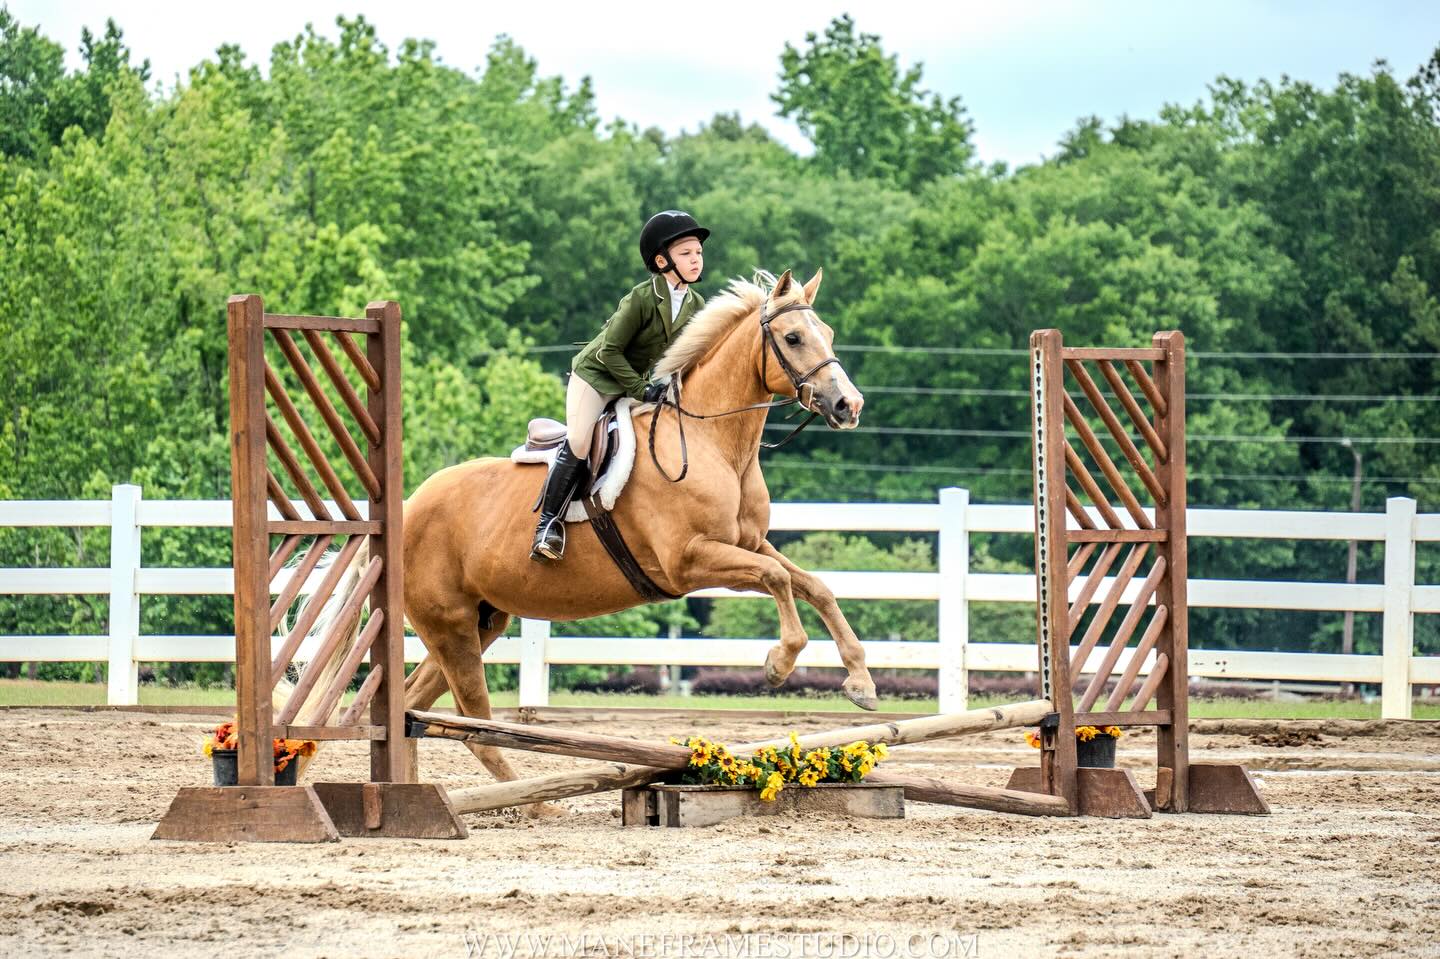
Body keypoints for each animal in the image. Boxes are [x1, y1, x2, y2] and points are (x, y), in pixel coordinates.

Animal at [317, 268, 876, 810]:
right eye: (793, 337)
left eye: (828, 334)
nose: (849, 405)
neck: (712, 443)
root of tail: (408, 507)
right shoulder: (690, 561)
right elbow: (778, 578)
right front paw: (779, 664)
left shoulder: (748, 545)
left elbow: (814, 585)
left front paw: (861, 684)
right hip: (450, 626)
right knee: (472, 723)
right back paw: (536, 805)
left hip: (479, 622)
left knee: (417, 708)